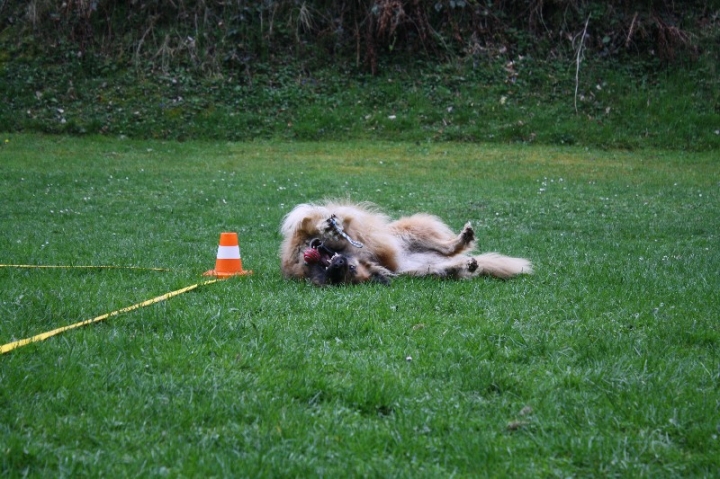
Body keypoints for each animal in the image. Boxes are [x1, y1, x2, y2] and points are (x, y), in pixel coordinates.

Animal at [278, 202, 532, 286]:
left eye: (349, 267)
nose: (338, 263)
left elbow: (313, 222)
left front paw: (331, 227)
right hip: (422, 263)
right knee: (450, 261)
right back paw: (465, 263)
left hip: (411, 231)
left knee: (446, 245)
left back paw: (463, 239)